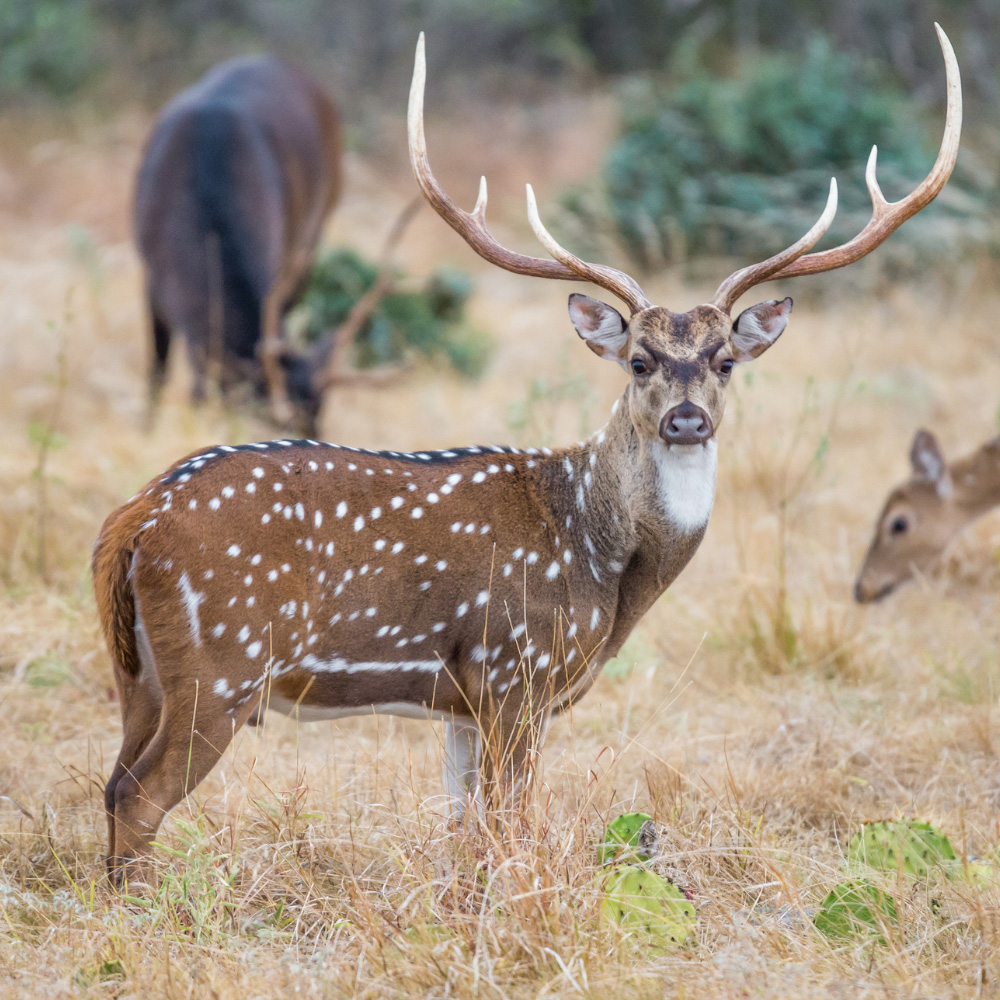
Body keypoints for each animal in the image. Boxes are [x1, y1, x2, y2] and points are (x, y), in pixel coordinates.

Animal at [94, 27, 960, 880]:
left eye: (724, 361)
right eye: (638, 359)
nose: (685, 421)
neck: (601, 560)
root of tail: (132, 522)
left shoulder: (462, 698)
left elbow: (464, 830)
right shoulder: (519, 669)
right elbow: (512, 825)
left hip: (140, 672)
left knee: (111, 783)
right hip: (223, 660)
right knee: (140, 795)